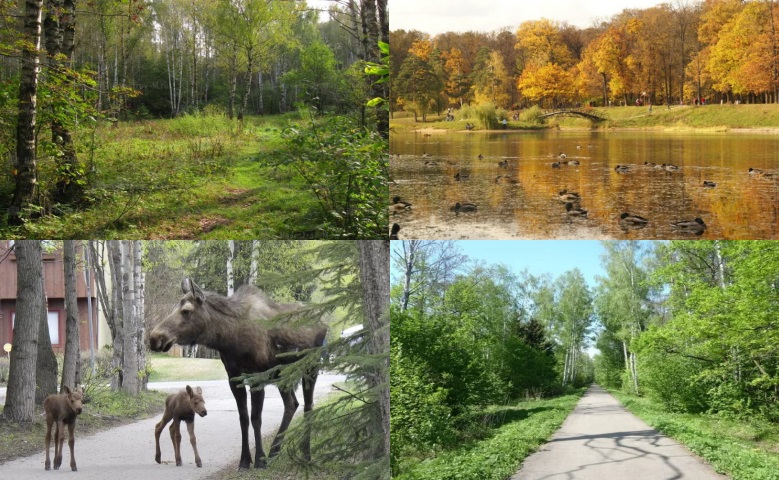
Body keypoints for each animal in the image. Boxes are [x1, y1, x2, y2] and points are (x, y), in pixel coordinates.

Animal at [149, 278, 326, 468]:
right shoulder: (234, 378)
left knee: (308, 406)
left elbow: (256, 418)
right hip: (282, 375)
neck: (229, 339)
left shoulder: (257, 377)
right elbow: (243, 418)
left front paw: (259, 460)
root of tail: (325, 325)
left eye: (186, 311)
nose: (154, 338)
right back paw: (274, 452)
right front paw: (245, 461)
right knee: (292, 404)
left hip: (310, 368)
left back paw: (305, 454)